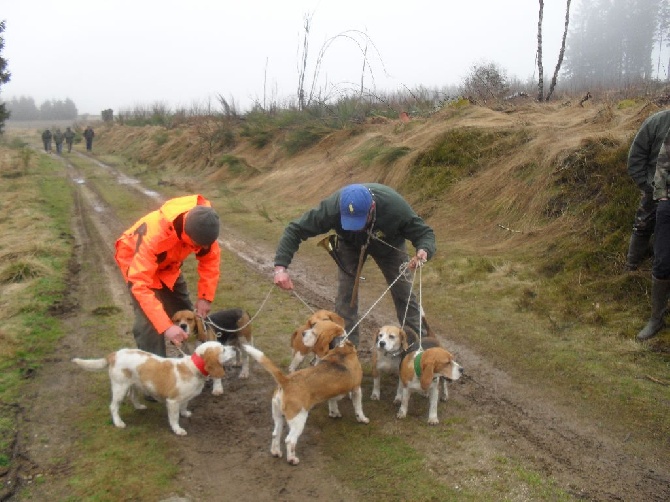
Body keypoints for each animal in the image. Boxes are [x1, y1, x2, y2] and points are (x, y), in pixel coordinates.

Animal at [73, 342, 236, 436]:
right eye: (223, 349)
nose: (235, 347)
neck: (193, 367)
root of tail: (114, 354)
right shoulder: (172, 401)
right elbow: (174, 418)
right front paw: (177, 429)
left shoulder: (184, 398)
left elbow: (184, 407)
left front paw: (185, 413)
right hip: (120, 388)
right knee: (113, 407)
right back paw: (118, 422)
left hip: (133, 385)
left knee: (133, 397)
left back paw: (139, 406)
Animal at [247, 320, 370, 464]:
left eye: (314, 331)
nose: (303, 333)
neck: (340, 346)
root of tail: (286, 381)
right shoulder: (356, 388)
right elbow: (358, 408)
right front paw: (362, 419)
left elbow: (332, 402)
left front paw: (334, 413)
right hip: (299, 419)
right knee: (289, 440)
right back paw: (292, 459)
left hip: (278, 416)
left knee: (275, 434)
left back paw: (276, 452)